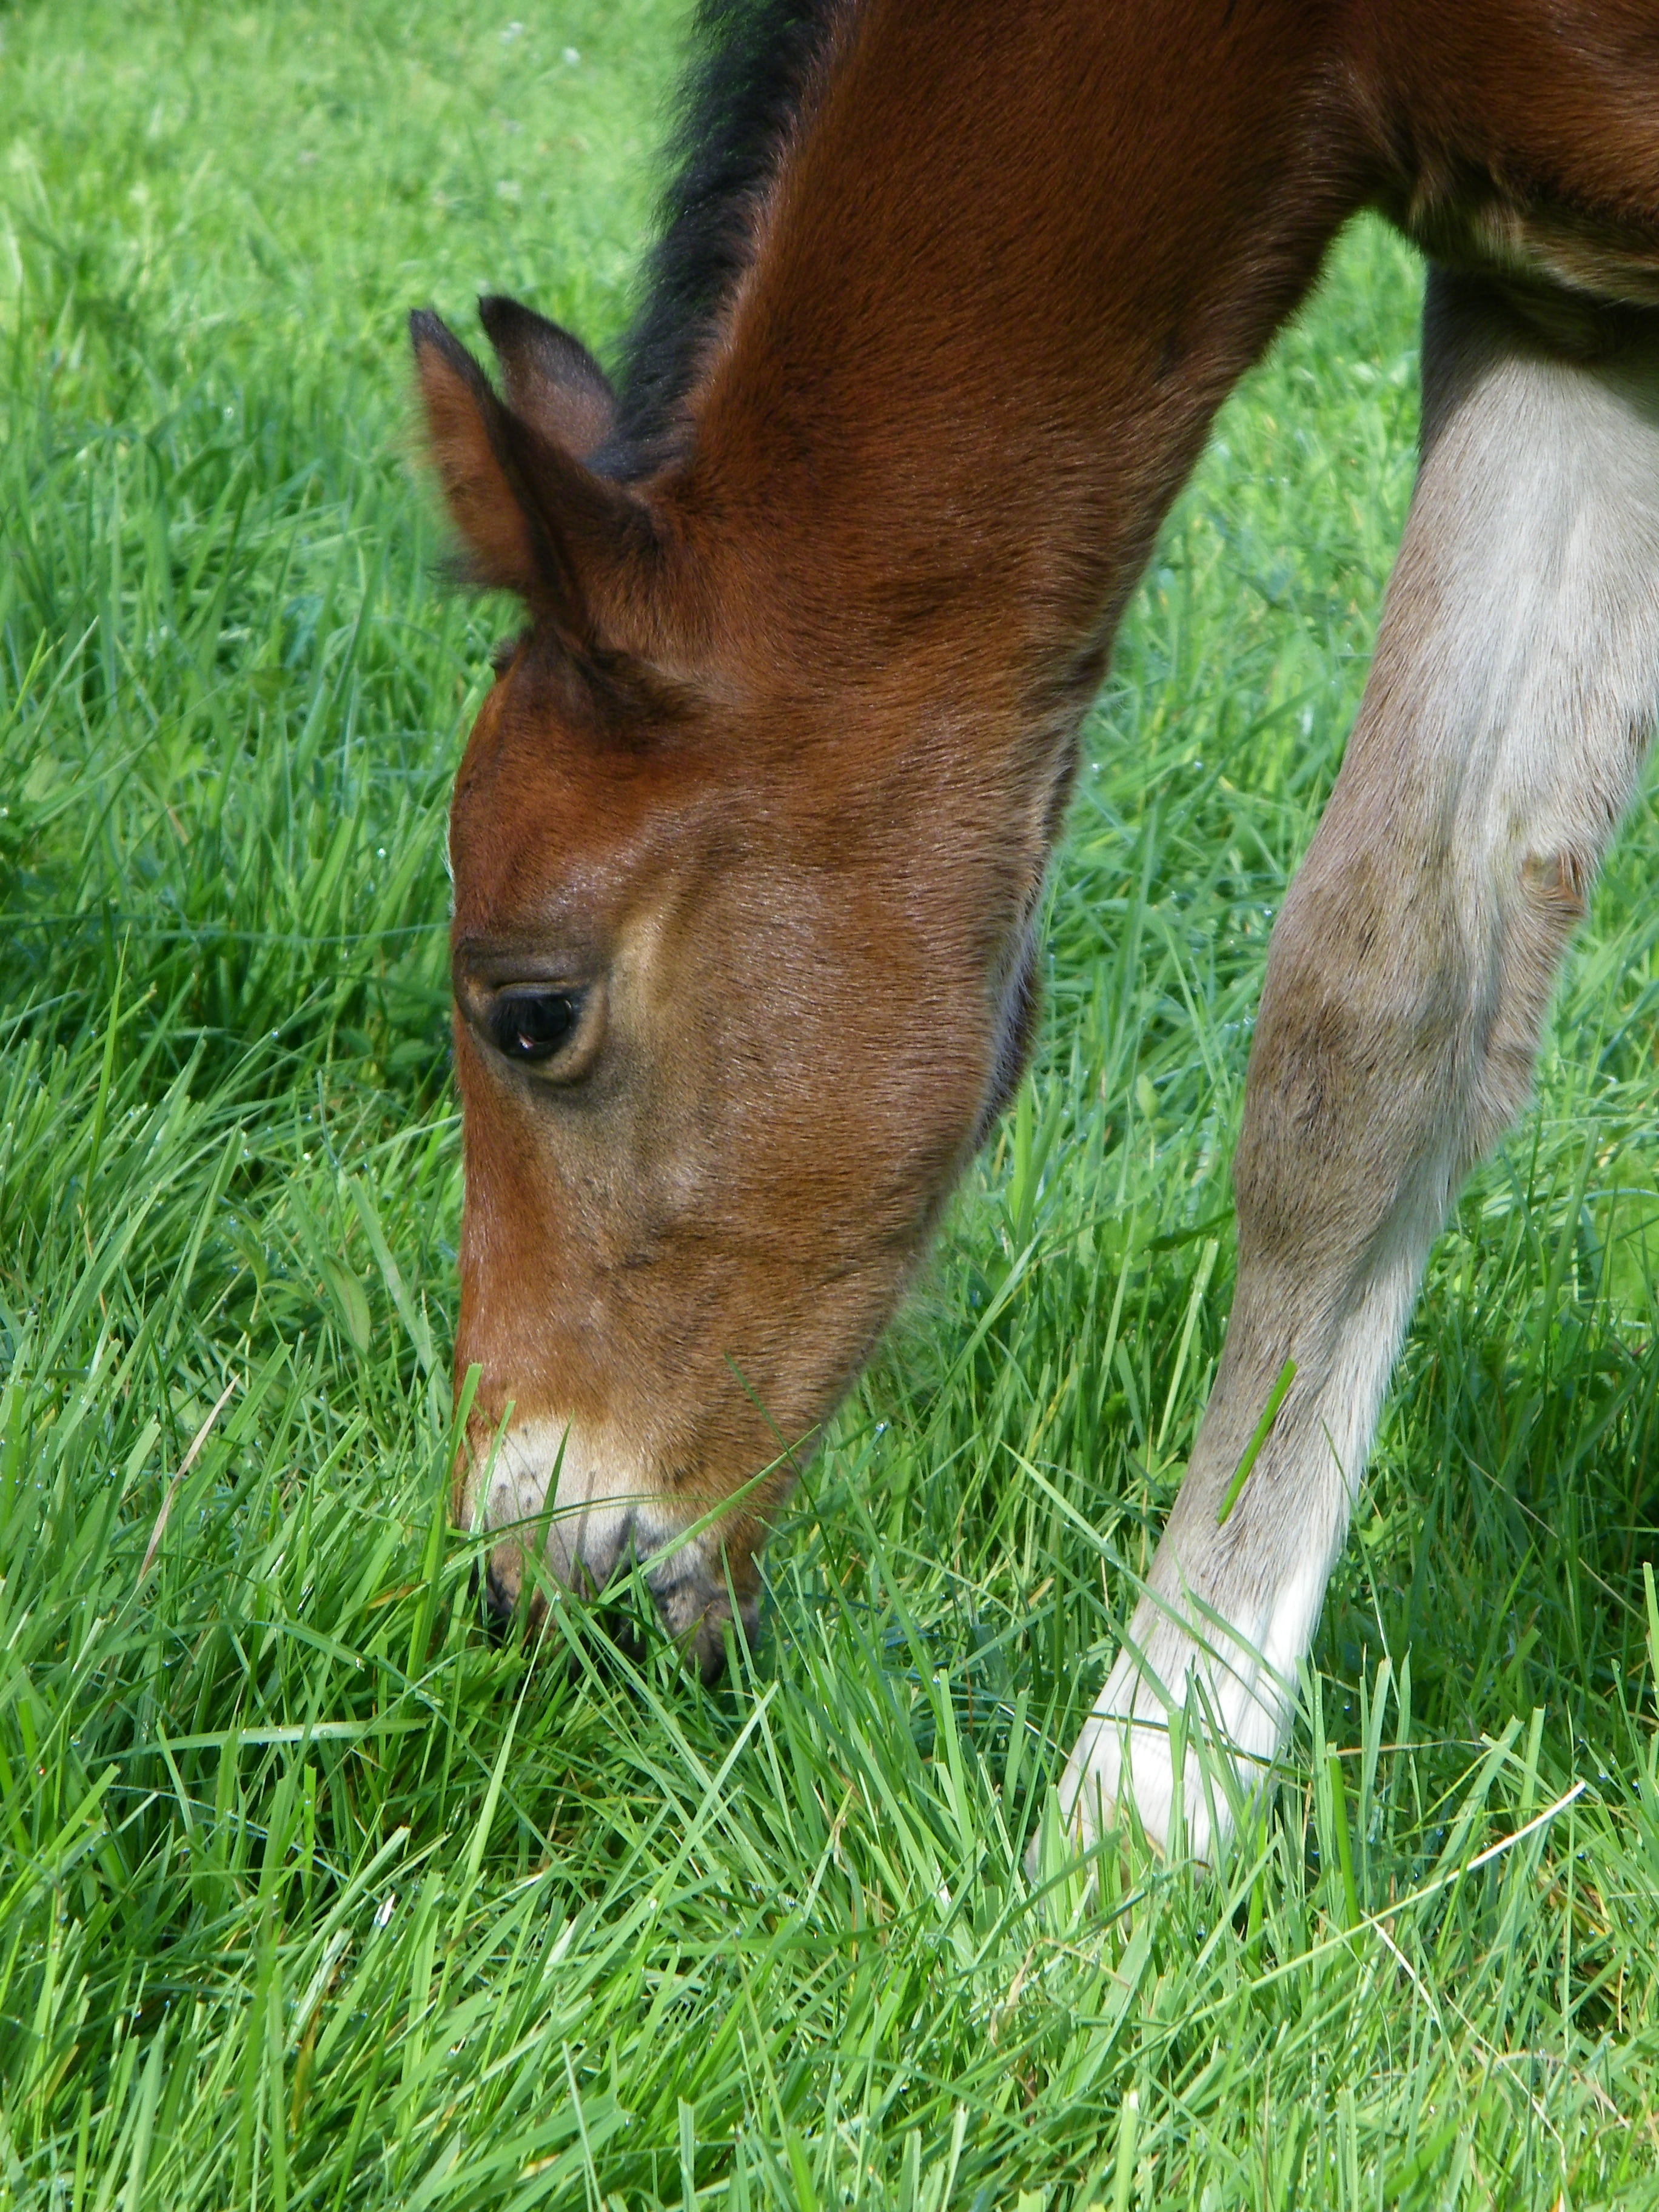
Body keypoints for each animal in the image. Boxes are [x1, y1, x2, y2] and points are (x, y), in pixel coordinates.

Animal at [410, 0, 1659, 1863]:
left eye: (533, 1012)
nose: (520, 1582)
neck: (1296, 45)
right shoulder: (1563, 308)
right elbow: (1377, 1012)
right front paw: (1156, 1795)